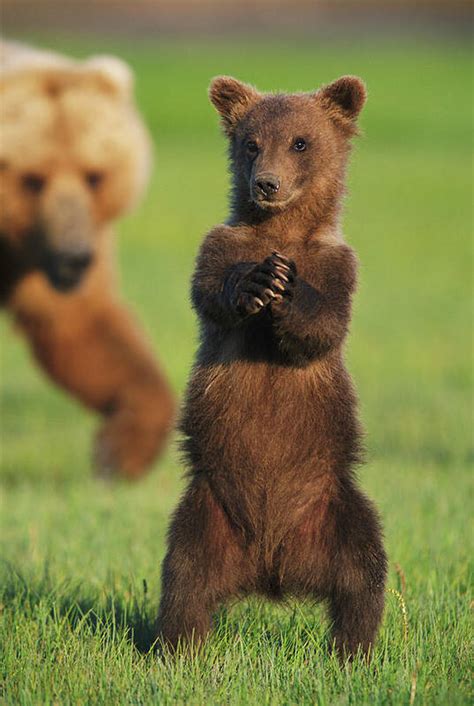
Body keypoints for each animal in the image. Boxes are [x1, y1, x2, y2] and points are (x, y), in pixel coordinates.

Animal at [0, 44, 175, 478]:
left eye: (94, 175)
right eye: (32, 179)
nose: (75, 257)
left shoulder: (39, 264)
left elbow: (81, 329)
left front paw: (120, 452)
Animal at [157, 75, 386, 656]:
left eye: (301, 142)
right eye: (251, 143)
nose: (266, 184)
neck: (281, 233)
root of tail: (271, 567)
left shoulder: (338, 265)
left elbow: (323, 325)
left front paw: (287, 290)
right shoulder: (220, 245)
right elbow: (213, 290)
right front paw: (259, 282)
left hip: (333, 505)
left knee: (363, 572)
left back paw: (353, 649)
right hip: (207, 513)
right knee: (184, 579)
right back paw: (181, 648)